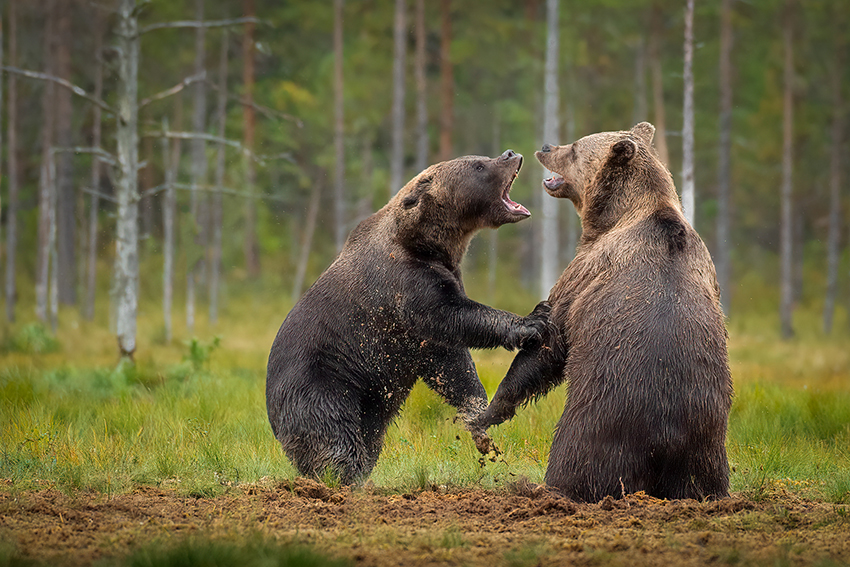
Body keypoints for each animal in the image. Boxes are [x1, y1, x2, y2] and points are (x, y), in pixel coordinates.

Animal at [264, 150, 548, 484]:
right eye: (478, 165)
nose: (510, 154)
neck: (424, 243)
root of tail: (269, 412)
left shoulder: (433, 302)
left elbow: (453, 367)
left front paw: (479, 419)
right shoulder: (405, 285)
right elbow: (453, 315)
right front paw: (534, 319)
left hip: (368, 401)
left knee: (368, 435)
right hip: (319, 384)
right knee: (334, 437)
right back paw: (345, 479)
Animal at [474, 123, 732, 502]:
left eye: (575, 148)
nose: (546, 146)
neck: (618, 214)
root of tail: (663, 439)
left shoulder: (586, 269)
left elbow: (550, 341)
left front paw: (487, 413)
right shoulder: (708, 270)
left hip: (598, 420)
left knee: (577, 462)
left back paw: (552, 488)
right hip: (705, 440)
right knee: (704, 479)